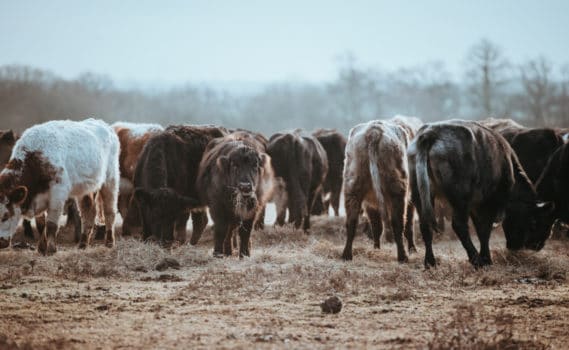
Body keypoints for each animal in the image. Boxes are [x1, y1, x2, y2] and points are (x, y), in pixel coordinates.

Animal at [0, 119, 118, 256]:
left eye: (5, 216)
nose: (1, 242)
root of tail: (103, 124)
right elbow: (41, 224)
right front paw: (41, 248)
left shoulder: (57, 194)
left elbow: (51, 225)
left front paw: (51, 250)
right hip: (85, 188)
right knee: (88, 212)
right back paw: (82, 244)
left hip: (111, 179)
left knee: (109, 211)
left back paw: (109, 242)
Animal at [408, 120, 556, 268]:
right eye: (536, 222)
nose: (538, 245)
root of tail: (431, 134)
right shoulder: (488, 203)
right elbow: (484, 230)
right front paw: (486, 259)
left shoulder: (476, 205)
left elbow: (480, 228)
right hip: (460, 199)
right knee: (459, 225)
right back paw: (475, 259)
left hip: (420, 195)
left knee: (425, 225)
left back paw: (430, 262)